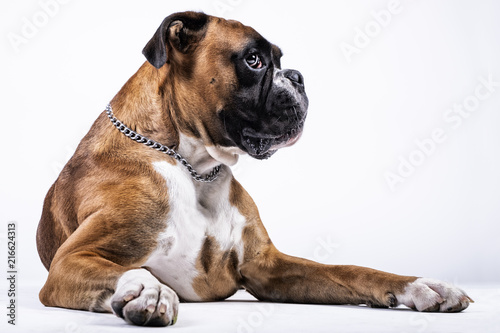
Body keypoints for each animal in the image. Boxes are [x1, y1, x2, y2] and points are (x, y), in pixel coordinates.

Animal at [37, 11, 474, 326]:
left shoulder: (267, 267)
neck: (195, 166)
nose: (297, 76)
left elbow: (351, 271)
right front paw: (150, 290)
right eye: (254, 60)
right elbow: (129, 271)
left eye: (280, 60)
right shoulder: (71, 260)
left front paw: (421, 286)